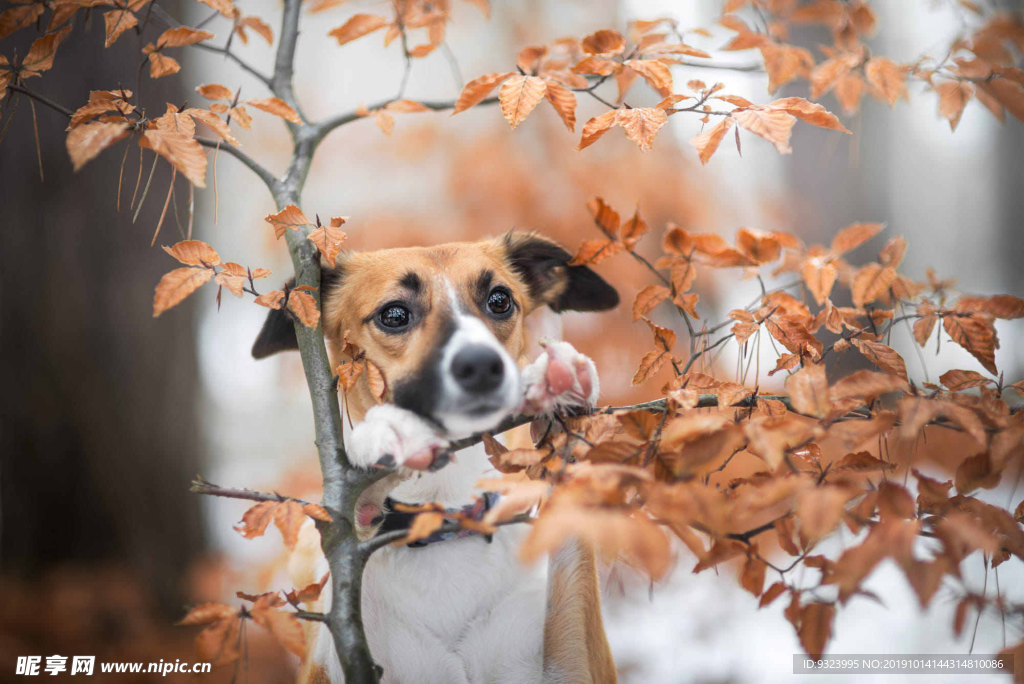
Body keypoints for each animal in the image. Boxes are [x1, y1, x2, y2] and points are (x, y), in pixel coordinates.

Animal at [253, 232, 622, 679]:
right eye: (394, 314)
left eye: (500, 300)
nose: (482, 365)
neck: (444, 519)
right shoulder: (341, 651)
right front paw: (385, 439)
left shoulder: (575, 666)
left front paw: (556, 385)